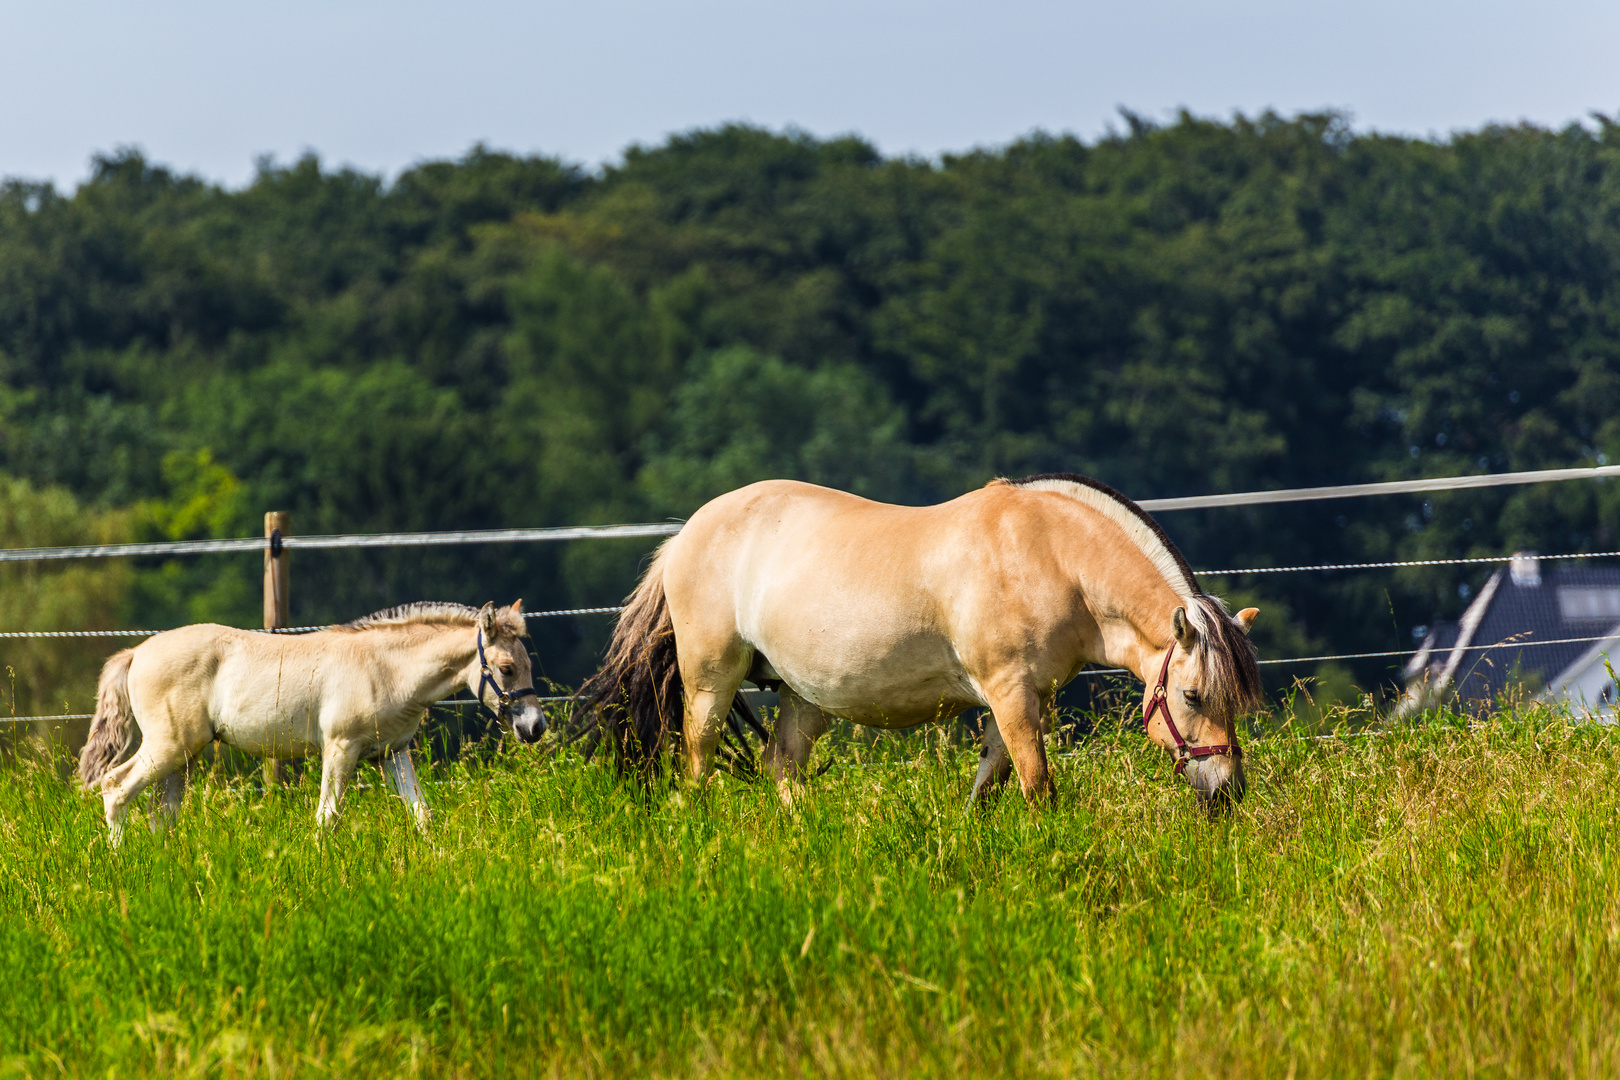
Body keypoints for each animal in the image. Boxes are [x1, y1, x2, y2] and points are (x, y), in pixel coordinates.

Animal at [78, 599, 544, 841]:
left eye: (527, 664)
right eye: (505, 668)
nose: (535, 727)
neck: (384, 668)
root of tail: (136, 652)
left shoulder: (392, 753)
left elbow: (422, 813)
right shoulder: (340, 748)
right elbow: (327, 817)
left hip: (182, 759)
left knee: (161, 817)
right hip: (168, 747)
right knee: (115, 789)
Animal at [570, 476, 1263, 809]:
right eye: (1194, 696)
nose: (1227, 792)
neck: (1048, 555)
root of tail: (684, 536)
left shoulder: (1019, 700)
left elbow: (987, 786)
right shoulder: (1012, 695)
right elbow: (1037, 787)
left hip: (803, 697)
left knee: (783, 769)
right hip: (710, 682)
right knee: (697, 765)